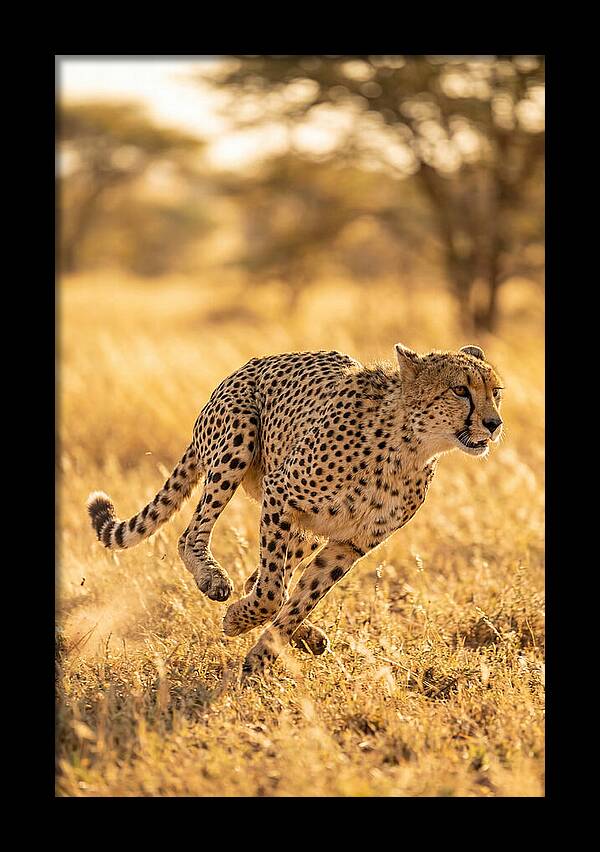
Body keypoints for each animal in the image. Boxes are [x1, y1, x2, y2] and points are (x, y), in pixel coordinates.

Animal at [87, 342, 504, 681]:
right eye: (460, 390)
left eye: (495, 392)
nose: (494, 423)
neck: (409, 446)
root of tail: (244, 367)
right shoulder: (280, 494)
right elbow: (273, 592)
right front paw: (238, 622)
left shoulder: (349, 543)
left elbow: (301, 597)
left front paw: (262, 655)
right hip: (237, 441)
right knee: (193, 537)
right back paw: (212, 579)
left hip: (307, 530)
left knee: (260, 577)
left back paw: (307, 637)